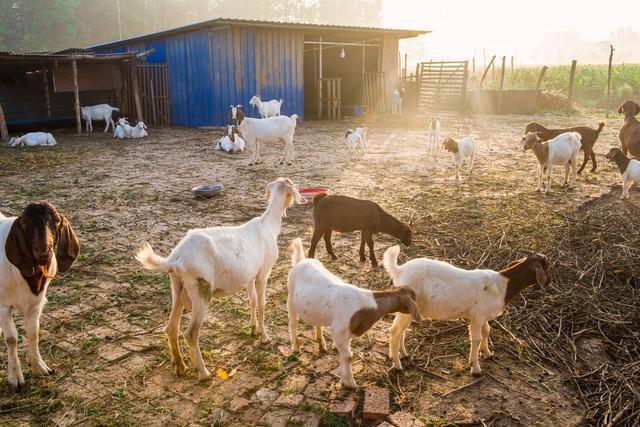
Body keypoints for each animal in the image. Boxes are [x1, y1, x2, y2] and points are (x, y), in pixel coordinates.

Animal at [0, 202, 80, 392]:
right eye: (24, 224)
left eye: (56, 221)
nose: (43, 251)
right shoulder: (3, 305)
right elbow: (11, 339)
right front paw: (15, 378)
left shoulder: (35, 305)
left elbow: (33, 333)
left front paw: (39, 367)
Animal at [134, 177, 306, 382]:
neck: (267, 225)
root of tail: (177, 258)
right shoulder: (263, 273)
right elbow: (262, 304)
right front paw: (264, 337)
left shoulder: (249, 276)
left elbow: (252, 301)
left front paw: (253, 328)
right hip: (200, 291)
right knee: (190, 333)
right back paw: (203, 373)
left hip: (178, 287)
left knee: (171, 328)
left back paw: (181, 366)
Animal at [288, 239, 420, 390]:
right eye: (413, 297)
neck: (367, 307)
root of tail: (301, 260)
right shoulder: (338, 331)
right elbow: (348, 356)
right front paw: (350, 383)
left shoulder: (347, 334)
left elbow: (344, 355)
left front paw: (342, 377)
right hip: (290, 297)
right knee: (292, 324)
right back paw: (296, 348)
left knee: (317, 323)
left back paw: (322, 345)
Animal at [382, 246, 552, 376]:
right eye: (547, 266)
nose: (549, 283)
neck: (503, 285)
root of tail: (399, 270)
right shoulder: (477, 316)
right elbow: (475, 338)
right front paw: (475, 368)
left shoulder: (483, 316)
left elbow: (487, 331)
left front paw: (487, 353)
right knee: (395, 330)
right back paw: (397, 365)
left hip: (409, 310)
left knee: (402, 330)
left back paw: (403, 354)